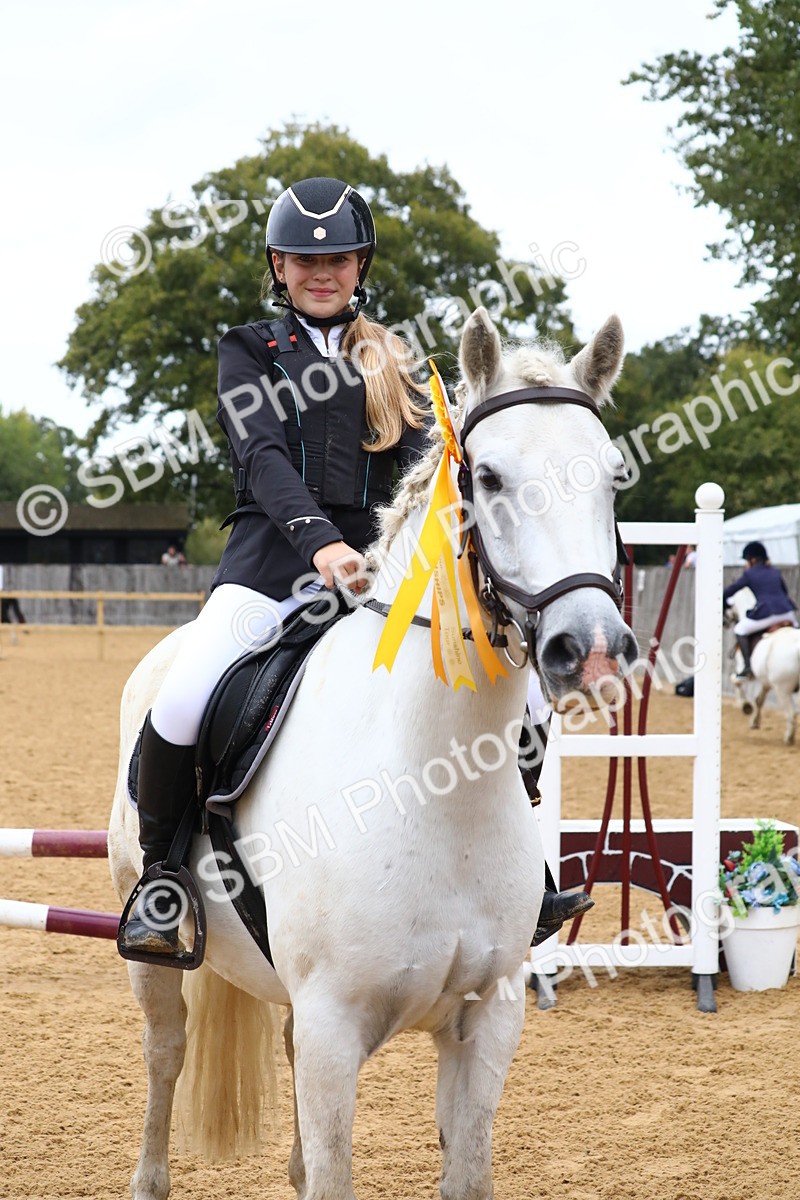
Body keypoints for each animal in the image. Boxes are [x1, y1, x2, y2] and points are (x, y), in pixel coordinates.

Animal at [108, 305, 638, 1200]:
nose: (592, 650)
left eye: (610, 477)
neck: (436, 781)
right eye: (487, 477)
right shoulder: (334, 1029)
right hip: (153, 955)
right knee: (164, 1053)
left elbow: (464, 1171)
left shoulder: (486, 1020)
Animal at [726, 587, 800, 745]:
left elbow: (735, 681)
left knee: (791, 712)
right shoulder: (766, 680)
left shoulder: (744, 671)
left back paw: (788, 738)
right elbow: (759, 700)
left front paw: (745, 706)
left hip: (782, 688)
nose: (725, 622)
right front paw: (754, 722)